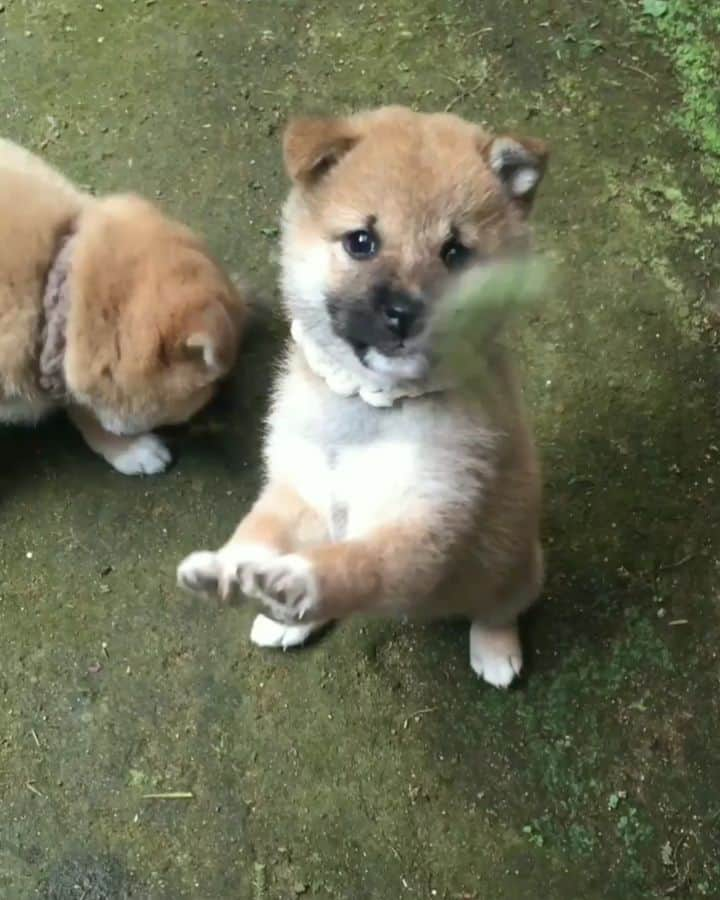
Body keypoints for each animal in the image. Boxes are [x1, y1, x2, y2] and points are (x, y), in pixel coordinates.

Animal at [177, 105, 548, 684]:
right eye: (361, 241)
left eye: (455, 253)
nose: (402, 312)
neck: (367, 406)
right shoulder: (300, 487)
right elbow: (257, 529)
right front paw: (228, 566)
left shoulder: (427, 521)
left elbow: (355, 566)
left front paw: (300, 581)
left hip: (515, 563)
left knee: (498, 606)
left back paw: (494, 649)